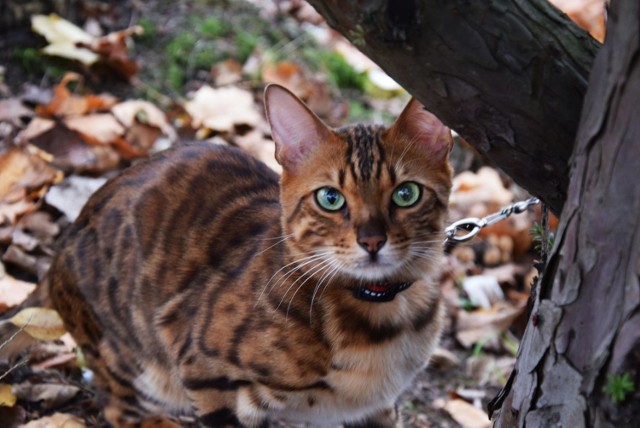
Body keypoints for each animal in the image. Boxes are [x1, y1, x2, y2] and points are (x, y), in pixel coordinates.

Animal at [32, 83, 452, 424]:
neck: (383, 316)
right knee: (119, 409)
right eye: (330, 198)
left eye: (407, 193)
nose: (372, 241)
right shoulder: (203, 369)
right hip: (136, 366)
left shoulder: (375, 410)